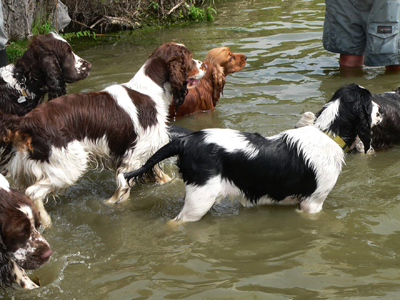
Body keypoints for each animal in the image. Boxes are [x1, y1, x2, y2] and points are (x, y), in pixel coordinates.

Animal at [0, 41, 205, 227]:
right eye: (189, 57)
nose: (204, 64)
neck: (149, 90)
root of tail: (27, 121)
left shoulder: (148, 154)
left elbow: (161, 176)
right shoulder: (132, 159)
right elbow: (122, 194)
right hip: (69, 165)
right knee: (33, 193)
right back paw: (46, 222)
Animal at [124, 84, 382, 223]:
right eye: (370, 101)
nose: (381, 111)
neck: (327, 133)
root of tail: (187, 140)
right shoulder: (312, 204)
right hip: (200, 200)